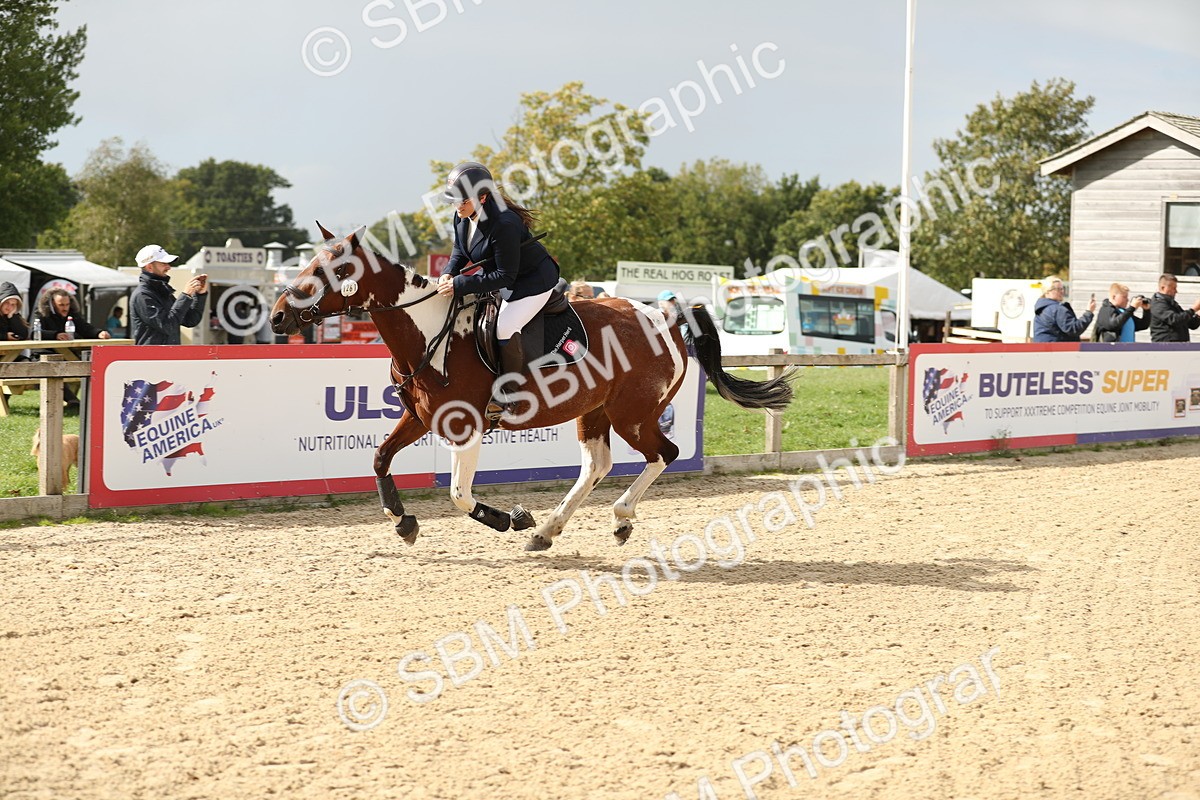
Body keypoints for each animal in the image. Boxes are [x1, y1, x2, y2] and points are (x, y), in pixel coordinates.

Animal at [270, 224, 794, 552]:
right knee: (597, 465)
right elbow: (379, 459)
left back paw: (618, 517)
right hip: (595, 412)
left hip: (633, 414)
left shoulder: (464, 428)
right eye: (309, 264)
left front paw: (509, 518)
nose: (277, 317)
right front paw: (403, 521)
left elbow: (459, 495)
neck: (429, 331)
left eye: (336, 271)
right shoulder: (418, 418)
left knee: (663, 453)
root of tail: (665, 317)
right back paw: (548, 530)